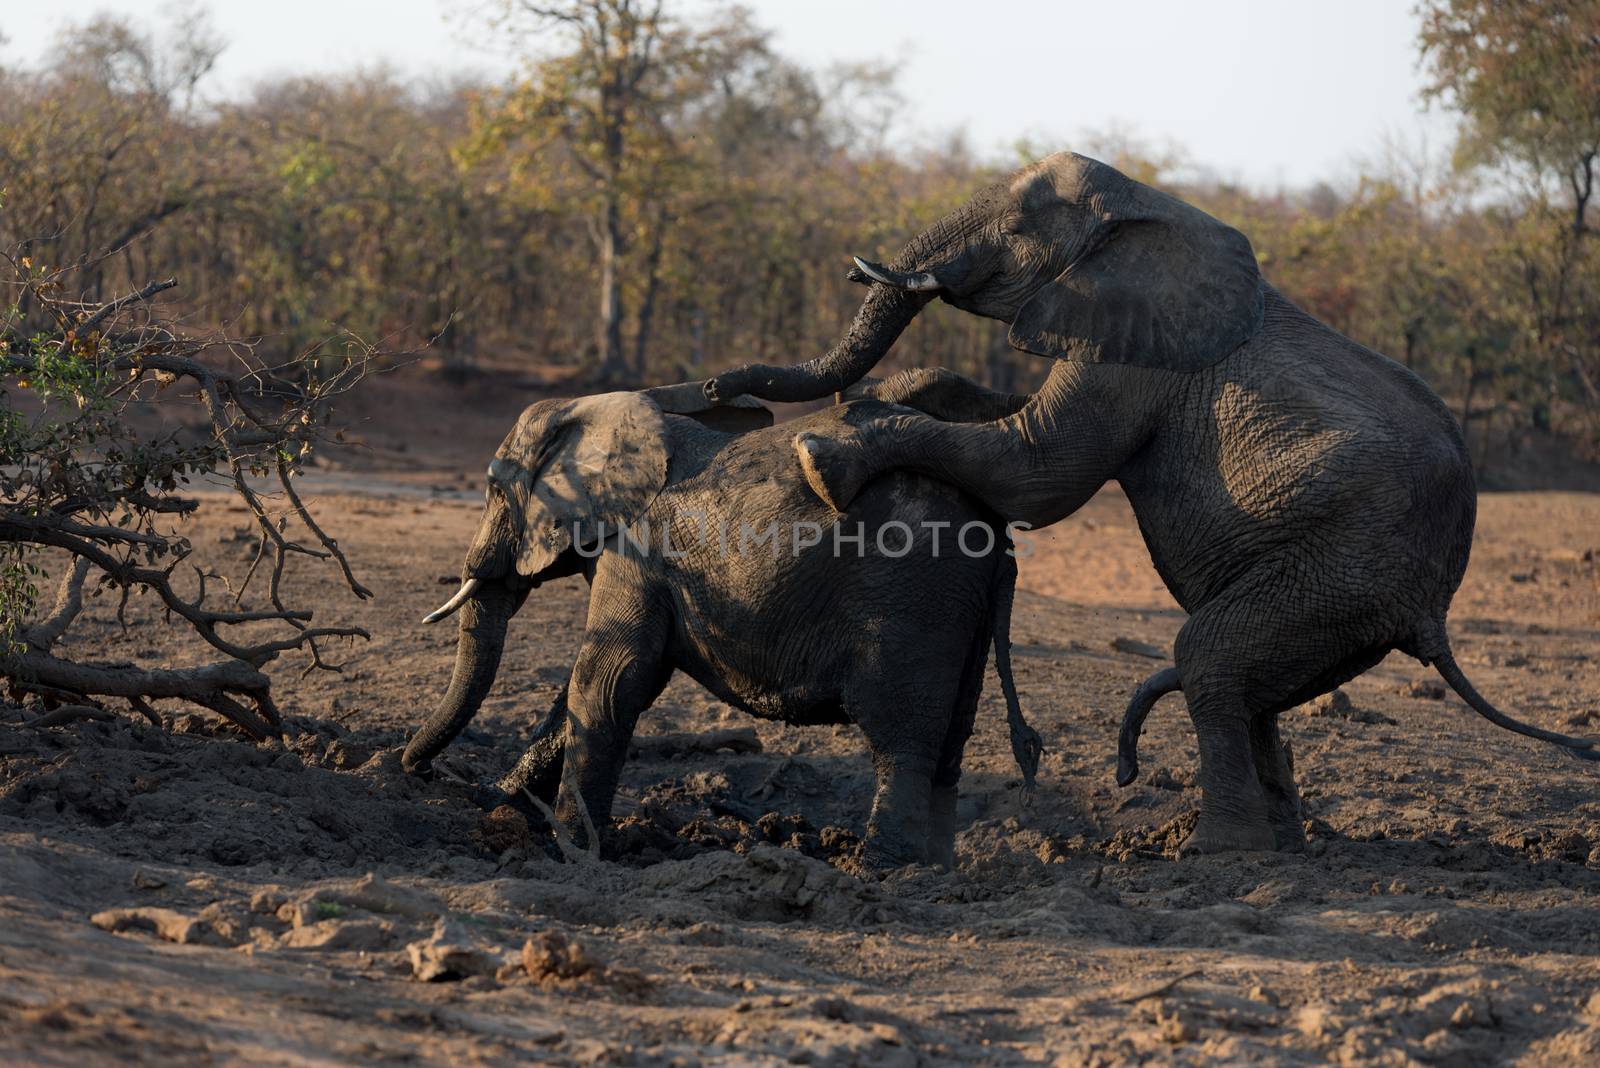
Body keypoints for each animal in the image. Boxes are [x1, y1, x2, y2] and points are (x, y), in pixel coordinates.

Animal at [406, 391, 1043, 869]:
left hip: (915, 599)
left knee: (900, 736)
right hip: (960, 607)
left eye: (493, 490)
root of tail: (997, 534)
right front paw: (502, 805)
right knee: (952, 739)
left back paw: (879, 869)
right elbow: (598, 689)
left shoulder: (635, 551)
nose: (419, 770)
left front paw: (573, 852)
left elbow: (609, 682)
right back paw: (935, 871)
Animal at [700, 150, 1600, 856]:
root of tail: (1435, 613)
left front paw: (824, 456)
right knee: (1252, 684)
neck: (1142, 205)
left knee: (1210, 656)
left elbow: (1038, 470)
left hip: (1347, 565)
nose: (716, 387)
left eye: (1019, 226)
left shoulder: (1131, 348)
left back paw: (1219, 853)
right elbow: (1008, 424)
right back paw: (1279, 846)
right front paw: (877, 400)